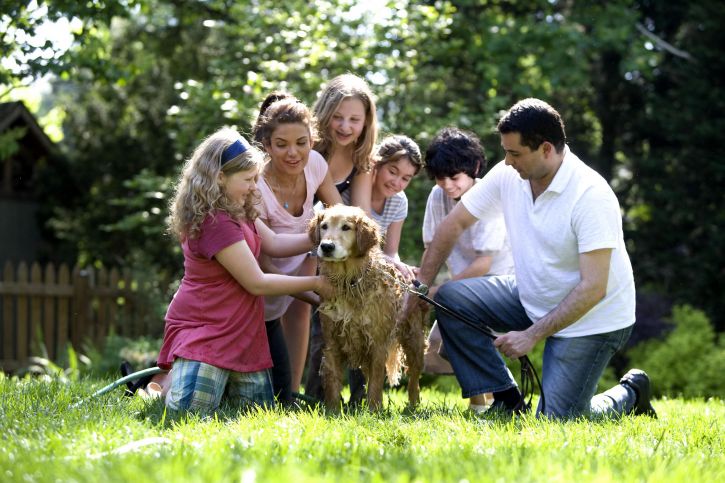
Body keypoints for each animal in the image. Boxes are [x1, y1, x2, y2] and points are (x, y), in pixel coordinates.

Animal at [308, 204, 428, 412]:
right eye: (324, 226)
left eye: (346, 227)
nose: (326, 246)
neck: (349, 282)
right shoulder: (332, 342)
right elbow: (333, 381)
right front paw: (333, 411)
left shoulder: (378, 344)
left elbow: (376, 382)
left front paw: (373, 410)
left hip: (414, 341)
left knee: (414, 379)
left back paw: (413, 407)